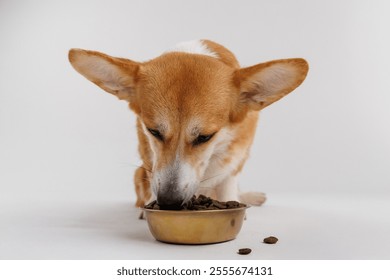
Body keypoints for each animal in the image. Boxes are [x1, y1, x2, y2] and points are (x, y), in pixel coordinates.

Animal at [69, 40, 308, 209]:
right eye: (153, 131)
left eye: (205, 137)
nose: (169, 202)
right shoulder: (150, 161)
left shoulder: (235, 161)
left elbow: (228, 186)